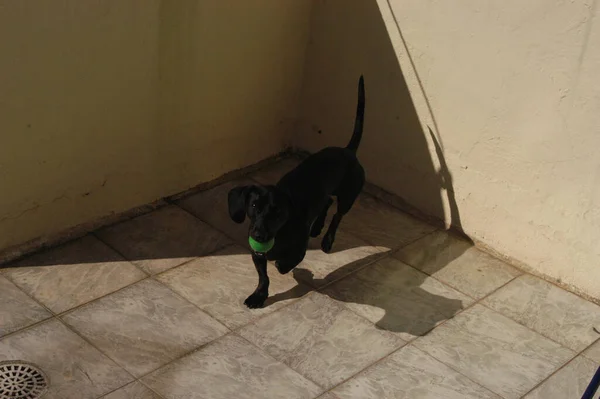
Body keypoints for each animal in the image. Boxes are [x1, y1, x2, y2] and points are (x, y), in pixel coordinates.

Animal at [226, 76, 364, 310]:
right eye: (253, 206)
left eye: (278, 212)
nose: (258, 235)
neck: (280, 232)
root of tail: (348, 151)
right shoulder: (257, 254)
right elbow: (264, 277)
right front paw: (258, 296)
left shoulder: (299, 250)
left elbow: (286, 263)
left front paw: (285, 266)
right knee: (327, 201)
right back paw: (317, 227)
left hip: (348, 195)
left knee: (338, 214)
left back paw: (327, 240)